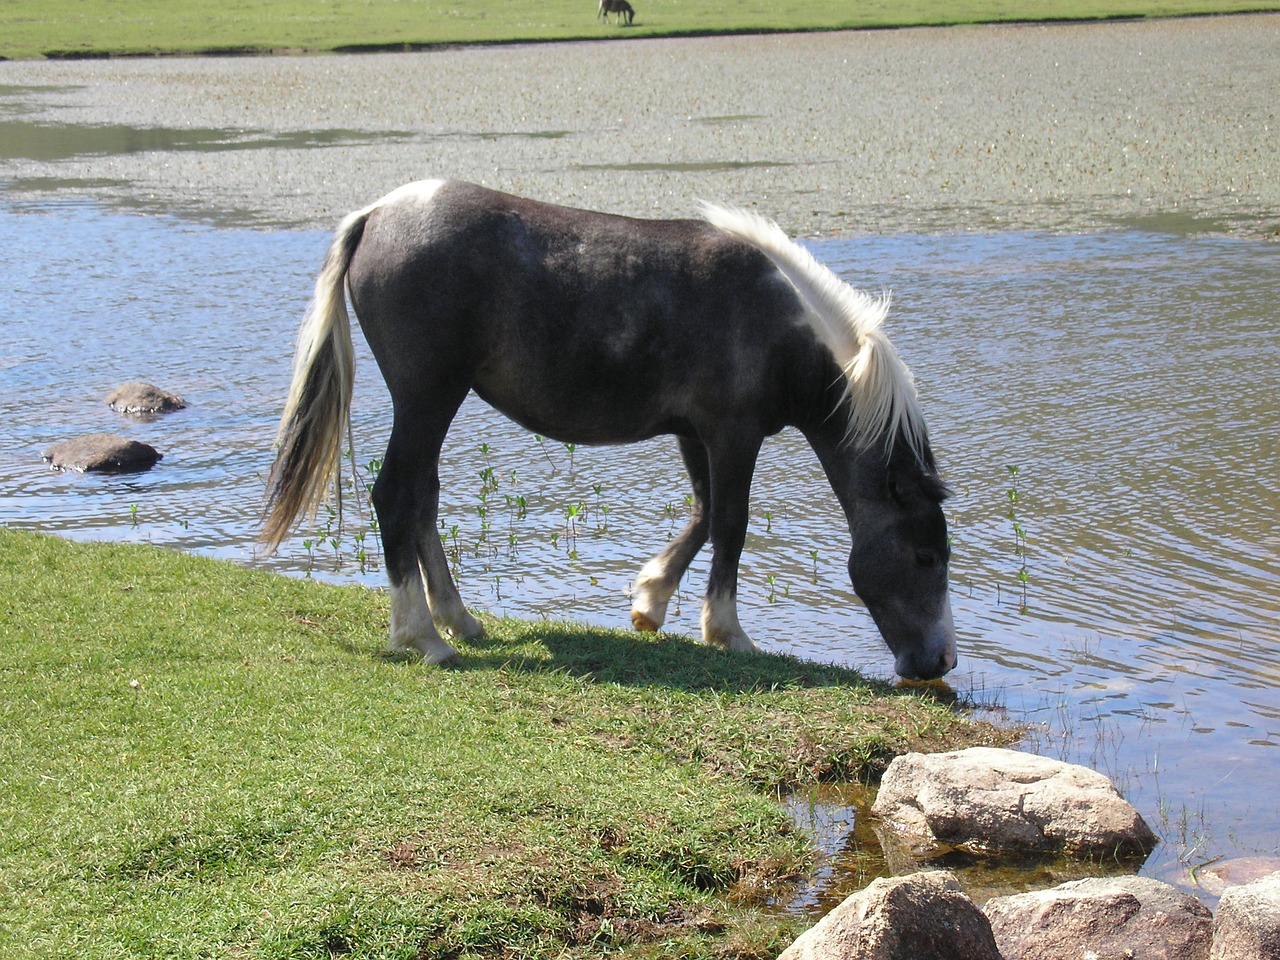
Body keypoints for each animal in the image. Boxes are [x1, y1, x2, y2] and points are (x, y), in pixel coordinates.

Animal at [262, 179, 952, 675]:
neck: (780, 319)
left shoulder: (694, 433)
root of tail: (378, 213)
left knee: (422, 501)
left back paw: (460, 620)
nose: (939, 662)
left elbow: (703, 516)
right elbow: (731, 524)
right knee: (397, 497)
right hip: (428, 398)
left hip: (436, 404)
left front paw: (650, 602)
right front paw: (727, 632)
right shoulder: (734, 434)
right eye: (924, 554)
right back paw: (422, 636)